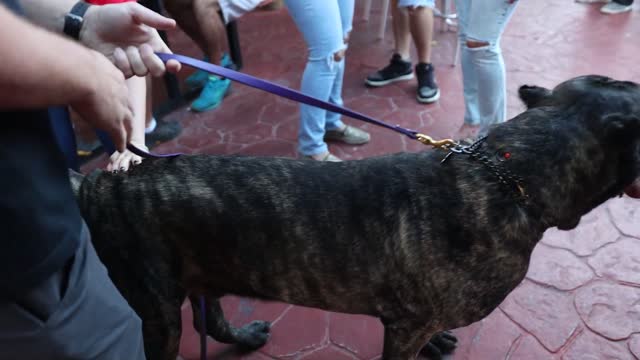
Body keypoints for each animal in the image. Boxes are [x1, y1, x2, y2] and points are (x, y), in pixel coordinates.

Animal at [69, 76, 640, 360]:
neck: (507, 174)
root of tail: (100, 183)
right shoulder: (404, 328)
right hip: (157, 306)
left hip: (201, 268)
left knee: (210, 317)